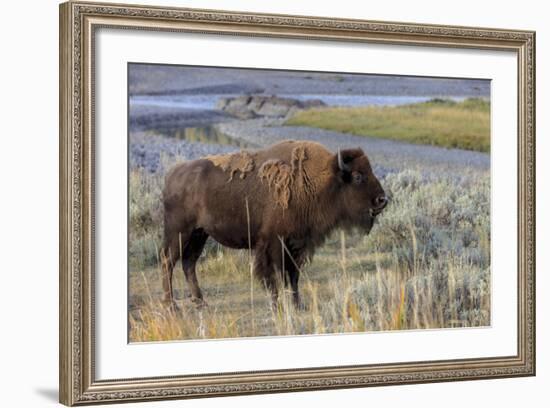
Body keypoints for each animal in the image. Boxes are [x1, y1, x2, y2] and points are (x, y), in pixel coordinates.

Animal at [162, 140, 390, 310]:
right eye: (358, 176)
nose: (382, 200)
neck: (317, 180)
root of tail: (171, 175)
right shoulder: (274, 243)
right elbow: (276, 275)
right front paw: (277, 305)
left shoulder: (298, 244)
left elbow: (293, 276)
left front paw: (297, 305)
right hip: (179, 232)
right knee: (168, 262)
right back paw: (172, 305)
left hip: (199, 234)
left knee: (188, 263)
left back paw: (200, 302)